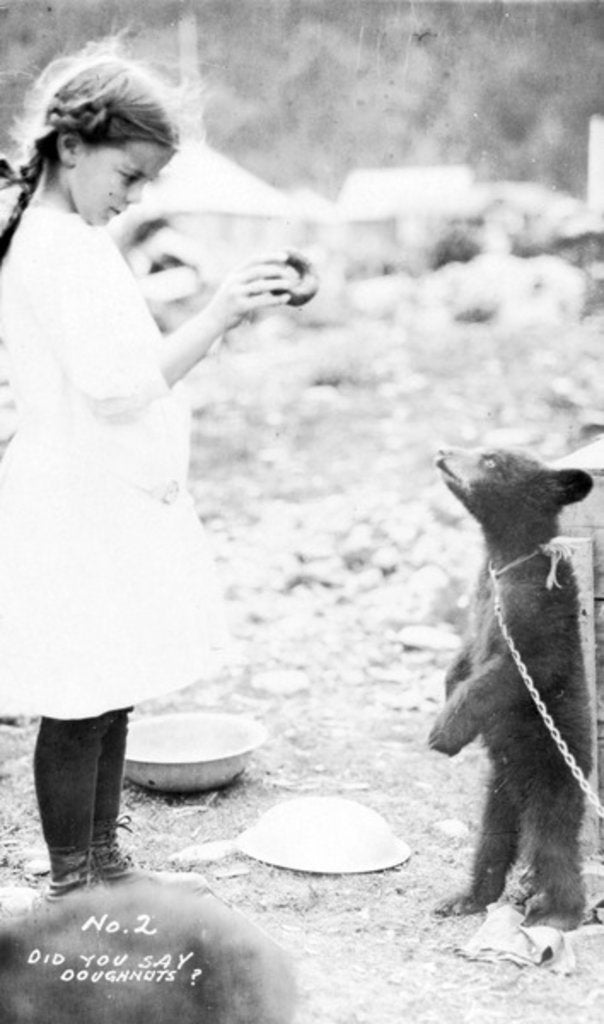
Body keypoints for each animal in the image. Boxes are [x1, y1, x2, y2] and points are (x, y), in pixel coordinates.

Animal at [428, 445, 594, 931]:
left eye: (491, 461)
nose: (442, 450)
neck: (505, 561)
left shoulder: (538, 615)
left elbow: (508, 674)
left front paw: (444, 731)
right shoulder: (483, 596)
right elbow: (466, 654)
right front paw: (447, 688)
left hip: (551, 780)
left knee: (550, 846)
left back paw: (558, 913)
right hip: (498, 789)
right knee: (494, 841)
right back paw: (467, 898)